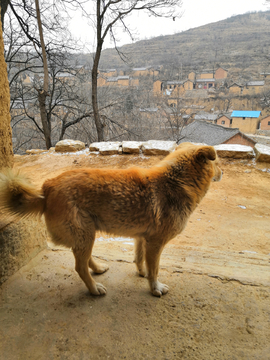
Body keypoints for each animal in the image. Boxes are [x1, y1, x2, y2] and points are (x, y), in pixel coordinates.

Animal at [0, 142, 221, 296]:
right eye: (217, 162)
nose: (223, 172)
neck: (177, 181)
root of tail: (47, 188)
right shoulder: (156, 243)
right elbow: (155, 269)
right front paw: (155, 288)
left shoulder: (142, 238)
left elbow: (140, 260)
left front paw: (142, 273)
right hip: (86, 233)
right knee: (79, 267)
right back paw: (94, 289)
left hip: (86, 234)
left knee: (83, 258)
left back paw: (98, 269)